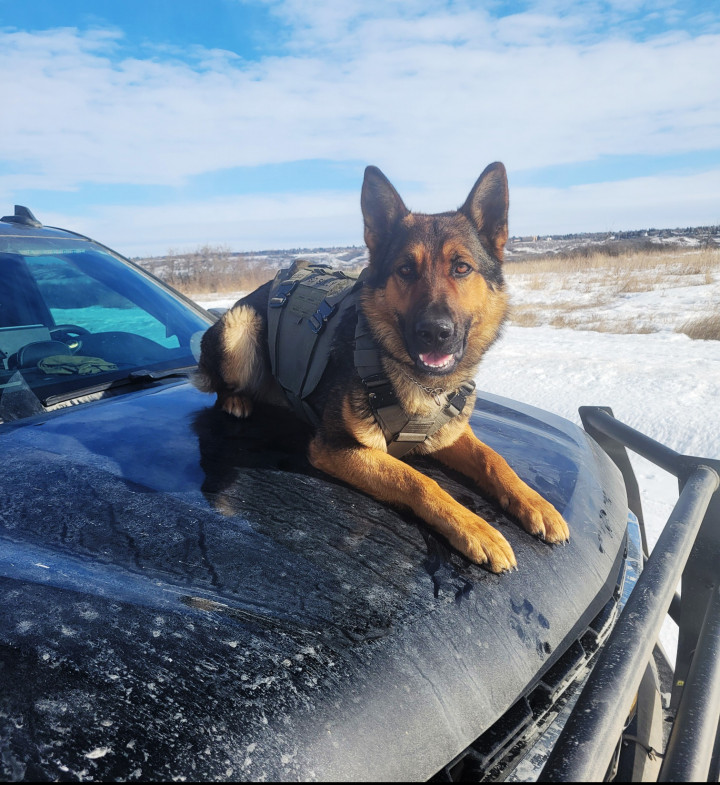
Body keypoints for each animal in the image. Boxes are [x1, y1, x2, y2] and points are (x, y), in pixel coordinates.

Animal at [195, 164, 568, 568]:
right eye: (405, 269)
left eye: (461, 268)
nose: (434, 332)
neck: (418, 383)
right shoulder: (335, 448)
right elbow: (417, 479)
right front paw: (475, 527)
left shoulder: (450, 433)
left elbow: (493, 459)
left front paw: (535, 503)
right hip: (240, 326)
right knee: (217, 382)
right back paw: (237, 400)